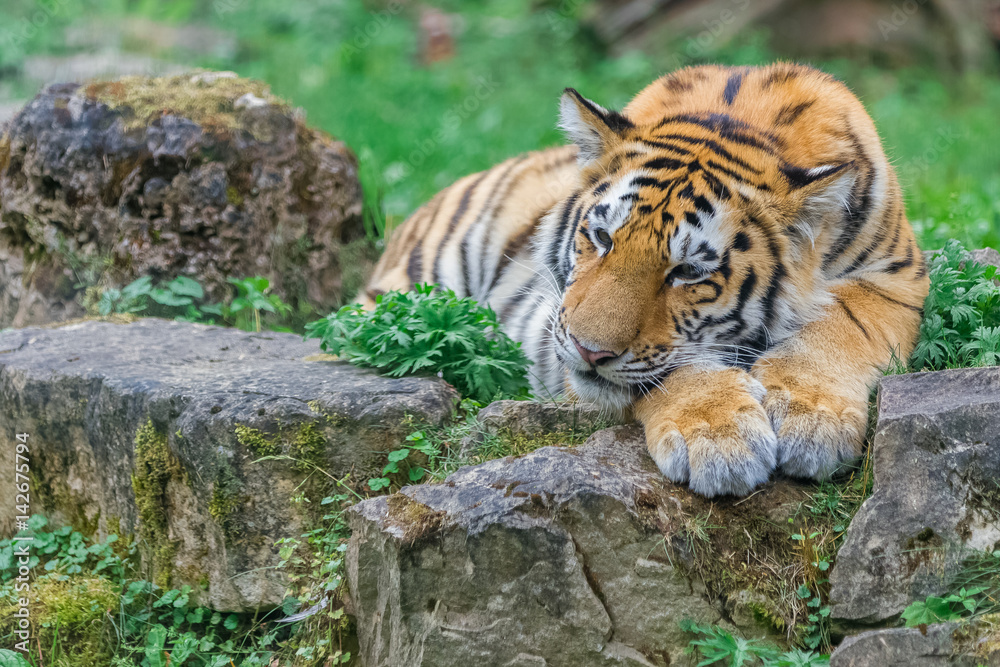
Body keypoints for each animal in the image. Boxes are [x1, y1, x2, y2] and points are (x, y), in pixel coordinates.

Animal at [362, 63, 929, 497]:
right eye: (602, 238)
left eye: (688, 271)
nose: (589, 352)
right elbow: (672, 369)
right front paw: (719, 438)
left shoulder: (898, 276)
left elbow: (843, 324)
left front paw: (812, 420)